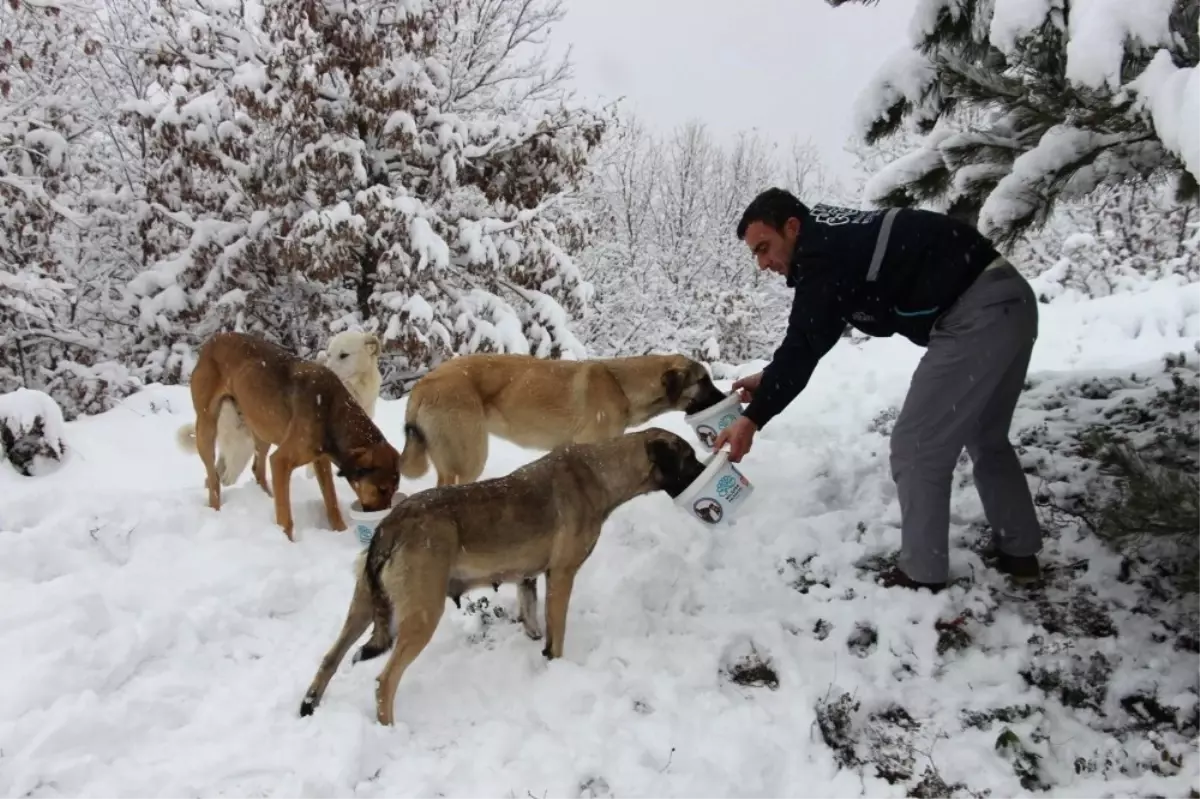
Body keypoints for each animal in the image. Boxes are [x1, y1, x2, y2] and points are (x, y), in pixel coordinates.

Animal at [298, 427, 705, 724]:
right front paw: (555, 666)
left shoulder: (528, 577)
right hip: (422, 615)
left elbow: (532, 614)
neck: (601, 472)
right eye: (690, 458)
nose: (711, 468)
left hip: (363, 605)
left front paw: (536, 643)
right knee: (385, 682)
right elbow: (557, 632)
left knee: (330, 658)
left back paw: (309, 705)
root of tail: (389, 526)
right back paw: (388, 730)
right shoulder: (562, 575)